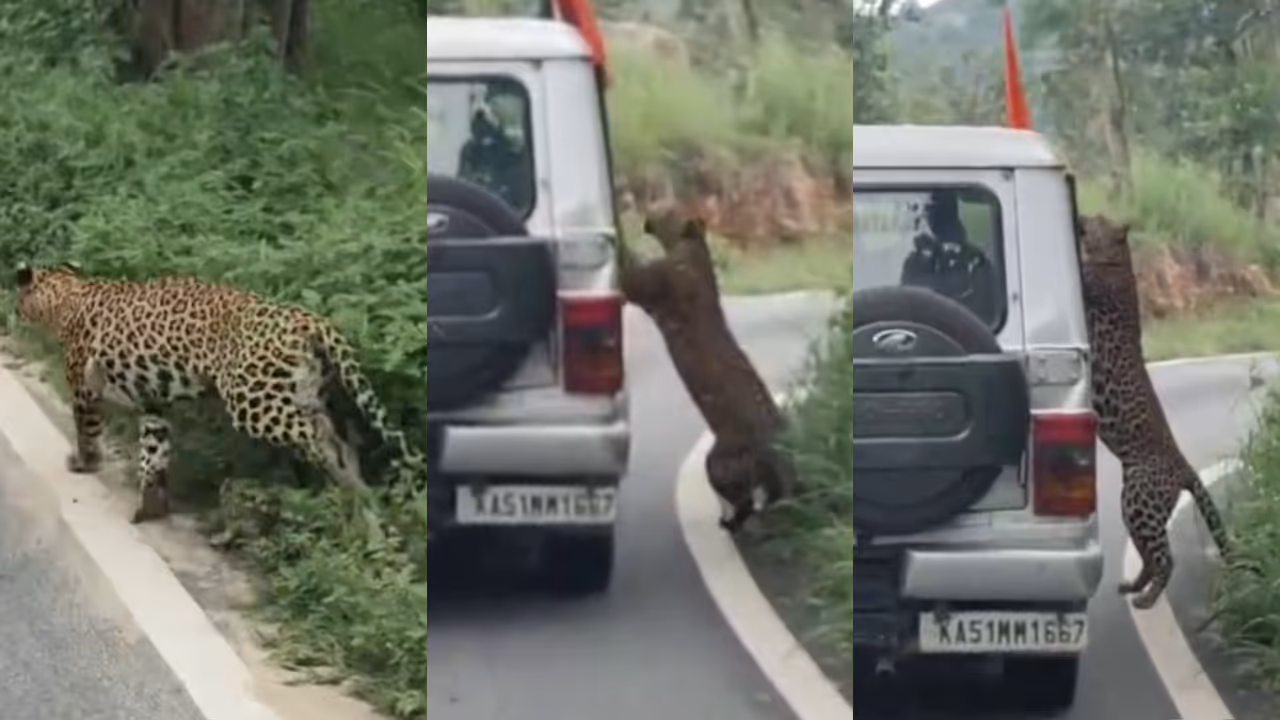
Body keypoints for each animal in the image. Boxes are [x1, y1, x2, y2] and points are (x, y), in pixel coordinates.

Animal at [14, 262, 423, 524]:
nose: (14, 309)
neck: (69, 295)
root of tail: (310, 319)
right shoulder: (153, 402)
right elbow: (155, 451)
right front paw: (152, 506)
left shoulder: (85, 391)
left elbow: (88, 431)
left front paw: (84, 463)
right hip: (304, 392)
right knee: (341, 438)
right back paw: (361, 495)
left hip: (254, 400)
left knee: (323, 438)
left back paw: (351, 488)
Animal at [617, 209, 793, 532]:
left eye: (666, 210)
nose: (647, 219)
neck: (695, 249)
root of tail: (773, 446)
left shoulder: (659, 281)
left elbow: (633, 274)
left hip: (719, 461)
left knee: (744, 497)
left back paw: (731, 521)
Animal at [1077, 215, 1231, 610]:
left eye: (1098, 221)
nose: (1084, 220)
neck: (1118, 260)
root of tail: (1183, 465)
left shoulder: (1090, 285)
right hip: (1132, 502)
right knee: (1149, 554)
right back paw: (1134, 586)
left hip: (1140, 498)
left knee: (1166, 557)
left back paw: (1146, 599)